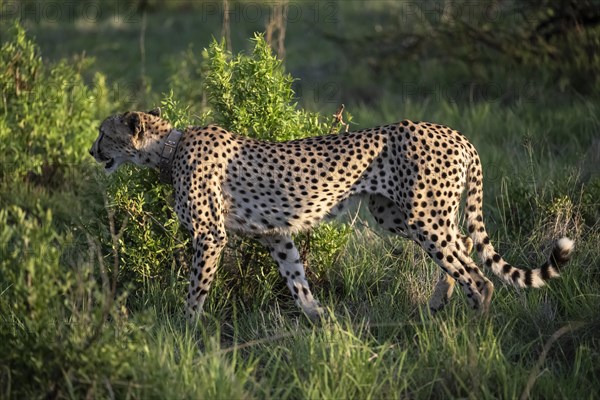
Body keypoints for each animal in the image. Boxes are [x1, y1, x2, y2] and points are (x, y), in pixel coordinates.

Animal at [88, 108, 572, 320]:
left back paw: (476, 329)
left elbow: (196, 291)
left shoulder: (210, 236)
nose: (92, 152)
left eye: (103, 133)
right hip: (399, 215)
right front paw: (319, 320)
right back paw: (439, 302)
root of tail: (456, 134)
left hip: (422, 217)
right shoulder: (275, 233)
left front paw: (185, 331)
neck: (167, 149)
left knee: (478, 275)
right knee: (466, 244)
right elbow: (296, 278)